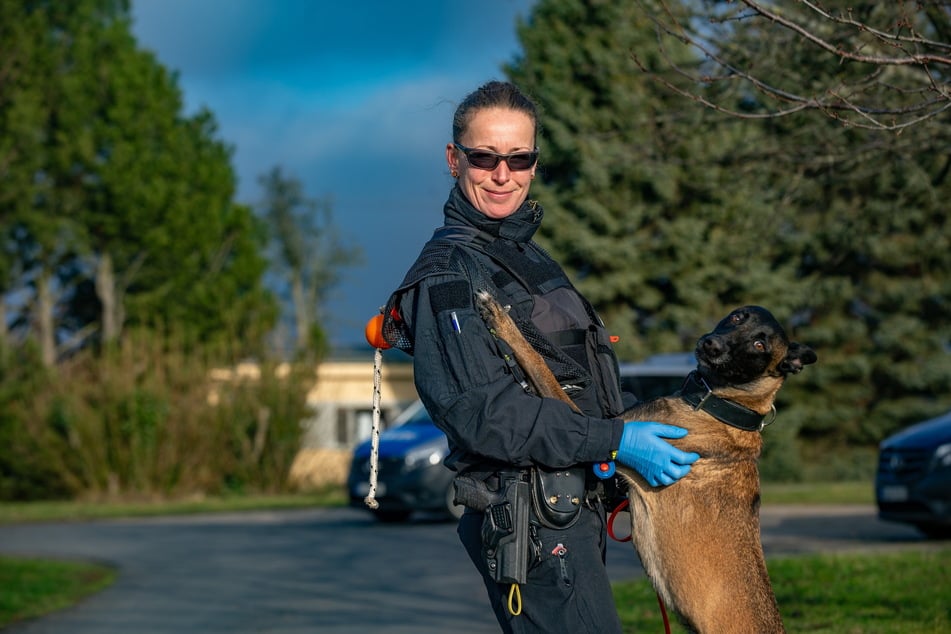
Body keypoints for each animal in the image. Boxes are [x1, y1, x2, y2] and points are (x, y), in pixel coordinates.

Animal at [476, 290, 820, 632]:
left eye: (759, 345)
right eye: (737, 317)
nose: (712, 345)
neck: (722, 406)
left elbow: (540, 366)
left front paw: (501, 319)